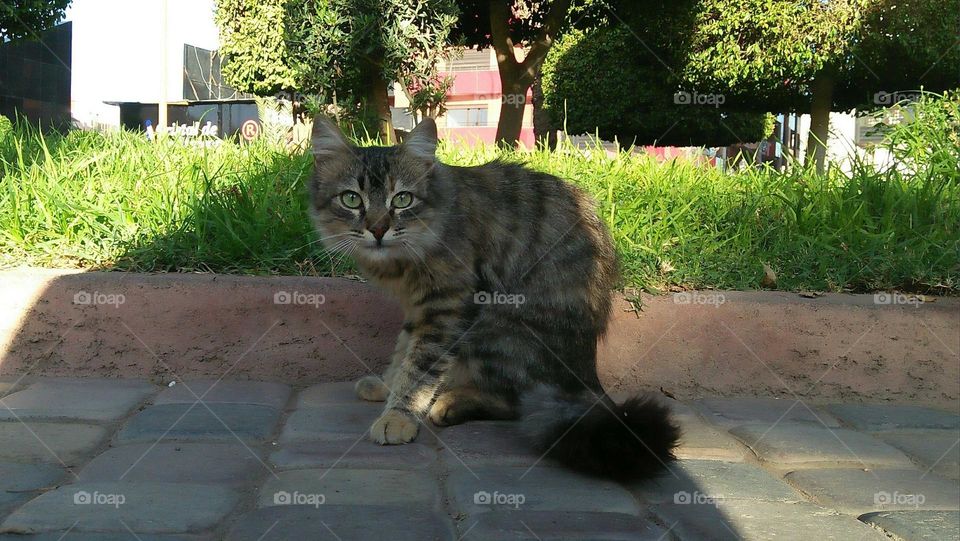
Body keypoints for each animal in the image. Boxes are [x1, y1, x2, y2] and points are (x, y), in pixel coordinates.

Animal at [312, 116, 680, 478]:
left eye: (402, 199)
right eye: (351, 199)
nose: (377, 229)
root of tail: (587, 379)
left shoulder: (448, 305)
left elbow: (418, 369)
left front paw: (398, 416)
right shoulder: (418, 309)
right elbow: (402, 353)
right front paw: (387, 387)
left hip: (494, 323)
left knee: (514, 403)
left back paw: (450, 403)